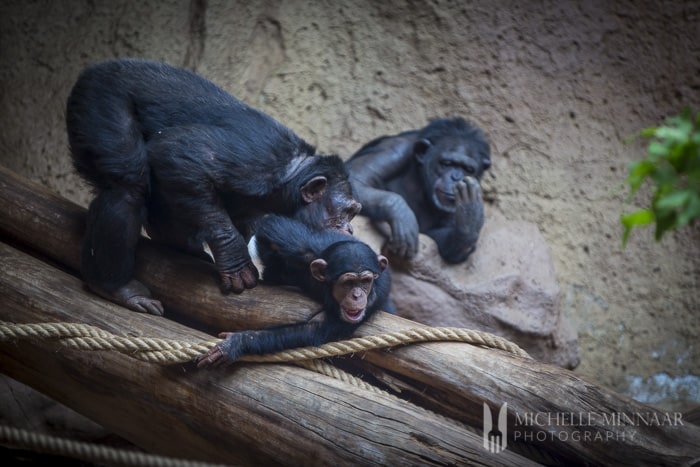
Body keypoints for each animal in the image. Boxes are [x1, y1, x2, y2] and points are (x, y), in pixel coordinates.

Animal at [65, 57, 360, 314]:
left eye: (353, 214)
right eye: (346, 212)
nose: (349, 229)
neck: (290, 179)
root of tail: (94, 69)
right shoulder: (256, 160)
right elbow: (180, 152)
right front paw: (236, 260)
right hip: (101, 102)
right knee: (127, 185)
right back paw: (115, 287)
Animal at [196, 214, 394, 368]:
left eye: (365, 282)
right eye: (349, 282)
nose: (357, 295)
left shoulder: (374, 298)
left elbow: (313, 329)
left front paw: (239, 342)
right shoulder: (300, 247)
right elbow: (269, 224)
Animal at [346, 118, 492, 264]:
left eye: (468, 169)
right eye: (447, 163)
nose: (456, 177)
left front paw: (469, 221)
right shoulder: (395, 149)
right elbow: (357, 179)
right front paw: (402, 214)